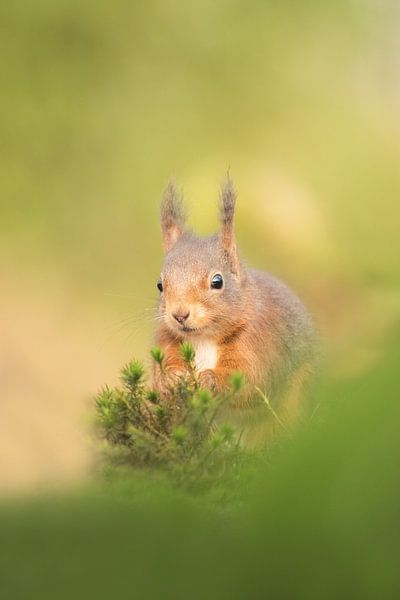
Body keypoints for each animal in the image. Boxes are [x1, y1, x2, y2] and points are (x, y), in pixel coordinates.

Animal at [153, 177, 318, 440]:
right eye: (160, 285)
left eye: (217, 281)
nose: (179, 315)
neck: (203, 338)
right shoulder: (166, 341)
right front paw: (171, 378)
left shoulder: (258, 342)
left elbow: (251, 380)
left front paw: (209, 378)